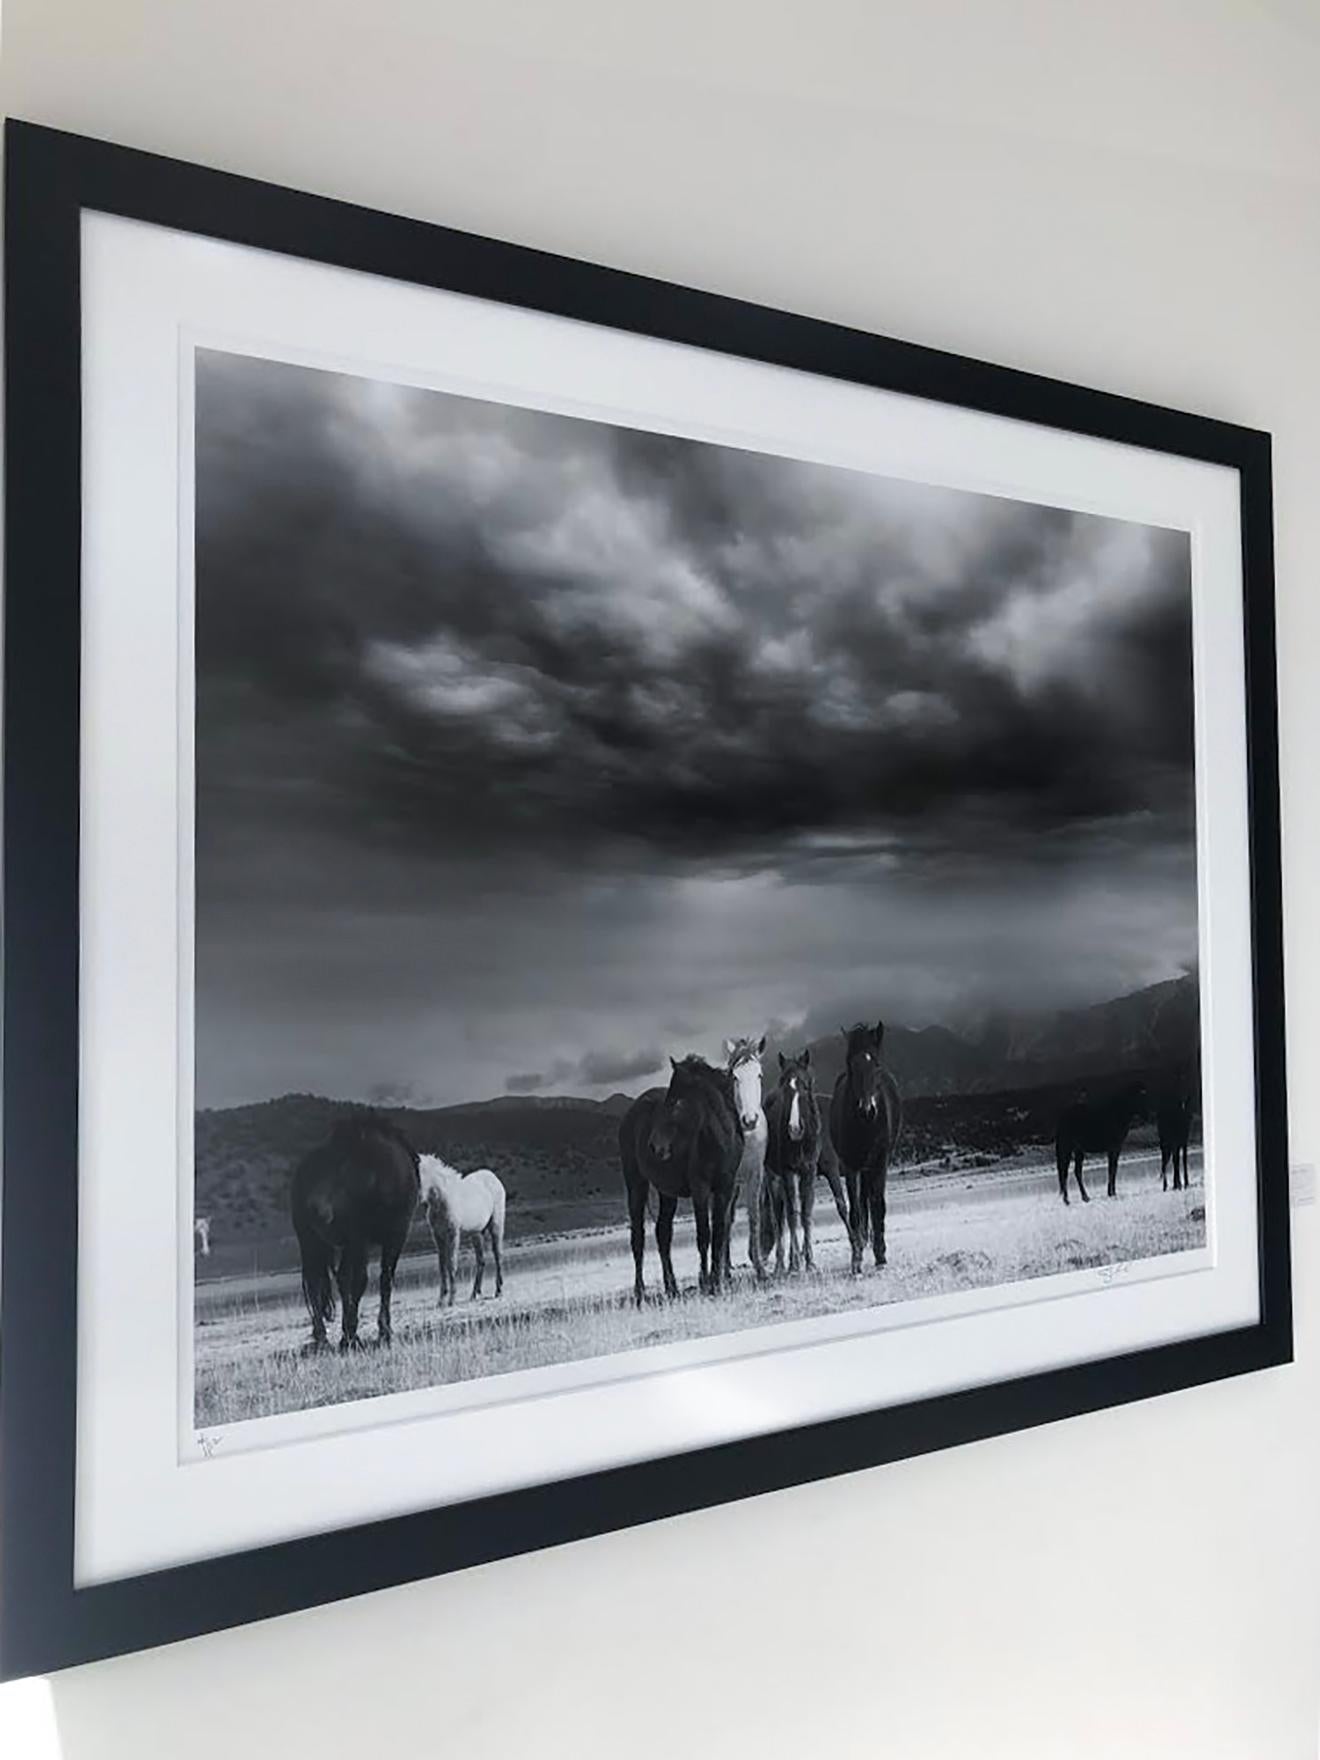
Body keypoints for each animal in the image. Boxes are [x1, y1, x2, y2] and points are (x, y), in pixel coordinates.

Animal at [292, 1105, 420, 1351]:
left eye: (344, 1172)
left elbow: (384, 1279)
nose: (317, 1211)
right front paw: (352, 1334)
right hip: (311, 1241)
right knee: (315, 1283)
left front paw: (380, 1331)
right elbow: (360, 1281)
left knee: (336, 1280)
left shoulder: (395, 1235)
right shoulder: (360, 1238)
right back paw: (323, 1338)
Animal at [420, 1154, 510, 1309]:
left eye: (422, 1173)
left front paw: (451, 1300)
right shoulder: (438, 1237)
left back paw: (499, 1291)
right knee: (481, 1260)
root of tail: (494, 1178)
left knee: (498, 1255)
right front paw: (441, 1301)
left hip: (496, 1226)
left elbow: (451, 1264)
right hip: (477, 1233)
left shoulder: (453, 1234)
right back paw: (475, 1294)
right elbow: (442, 1266)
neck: (442, 1200)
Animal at [619, 1048, 746, 1302]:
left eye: (676, 1102)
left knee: (662, 1234)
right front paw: (706, 1283)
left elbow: (719, 1233)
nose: (654, 1146)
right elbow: (704, 1235)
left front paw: (717, 1282)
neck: (719, 1140)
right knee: (638, 1237)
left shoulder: (725, 1189)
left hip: (667, 1192)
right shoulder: (700, 1189)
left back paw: (672, 1288)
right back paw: (640, 1293)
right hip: (636, 1184)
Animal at [760, 1048, 851, 1274]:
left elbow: (809, 1212)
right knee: (780, 1216)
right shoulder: (788, 1172)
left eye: (806, 1086)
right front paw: (795, 1263)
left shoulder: (814, 1171)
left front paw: (808, 1261)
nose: (794, 1128)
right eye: (784, 1087)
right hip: (773, 1176)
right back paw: (782, 1264)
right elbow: (793, 1215)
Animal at [830, 1020, 908, 1281]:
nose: (867, 1110)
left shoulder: (880, 1162)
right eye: (851, 1065)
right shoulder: (850, 1165)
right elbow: (855, 1210)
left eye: (876, 1064)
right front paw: (857, 1261)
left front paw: (881, 1255)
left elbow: (878, 1205)